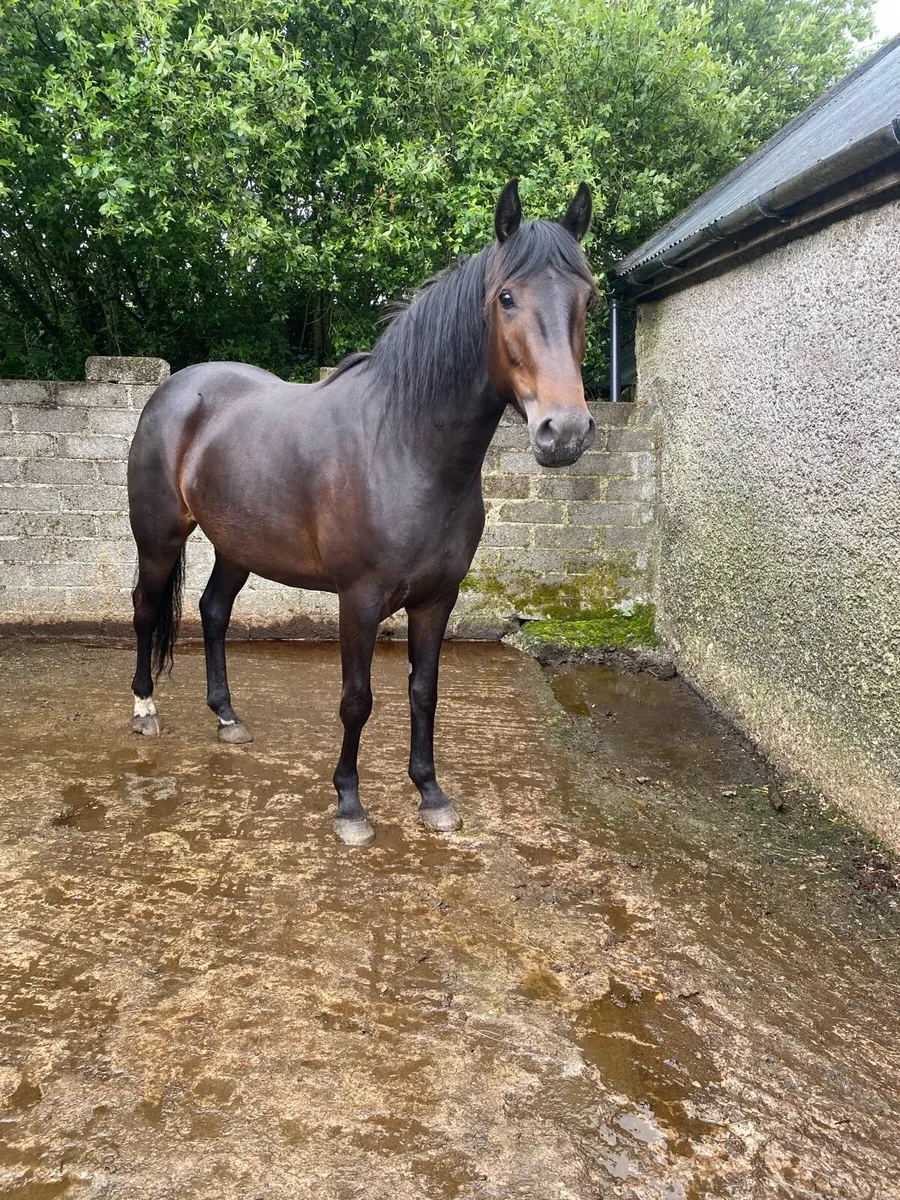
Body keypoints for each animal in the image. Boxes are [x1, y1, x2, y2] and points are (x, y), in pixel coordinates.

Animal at [127, 179, 598, 846]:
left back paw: (227, 717)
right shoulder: (360, 598)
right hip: (159, 538)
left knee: (213, 612)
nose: (566, 432)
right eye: (507, 297)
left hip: (237, 546)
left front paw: (430, 794)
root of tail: (170, 393)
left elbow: (424, 692)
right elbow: (357, 699)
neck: (406, 448)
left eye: (588, 298)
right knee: (146, 610)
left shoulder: (437, 599)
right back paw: (145, 711)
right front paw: (350, 806)